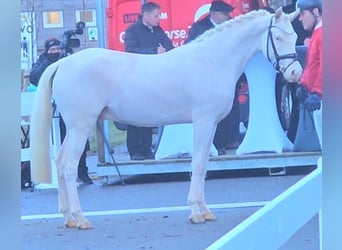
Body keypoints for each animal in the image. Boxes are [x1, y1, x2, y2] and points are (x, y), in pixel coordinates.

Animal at [30, 8, 302, 229]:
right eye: (278, 38)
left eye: (294, 37)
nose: (295, 73)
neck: (211, 60)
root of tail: (63, 63)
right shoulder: (203, 121)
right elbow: (198, 165)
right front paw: (196, 213)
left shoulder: (211, 124)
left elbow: (203, 164)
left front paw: (205, 211)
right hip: (80, 126)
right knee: (68, 166)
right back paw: (81, 219)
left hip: (75, 127)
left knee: (60, 161)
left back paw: (68, 218)